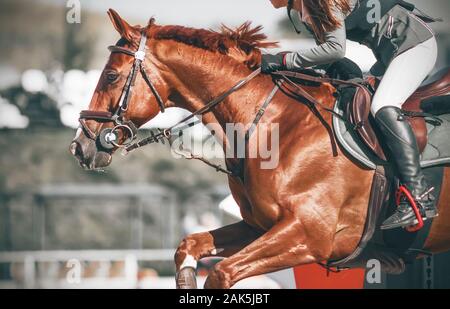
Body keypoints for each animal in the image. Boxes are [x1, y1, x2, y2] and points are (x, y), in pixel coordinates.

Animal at [69, 10, 450, 288]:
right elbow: (189, 246)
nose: (80, 146)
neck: (273, 124)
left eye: (111, 77)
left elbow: (221, 273)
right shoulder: (259, 227)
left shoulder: (307, 234)